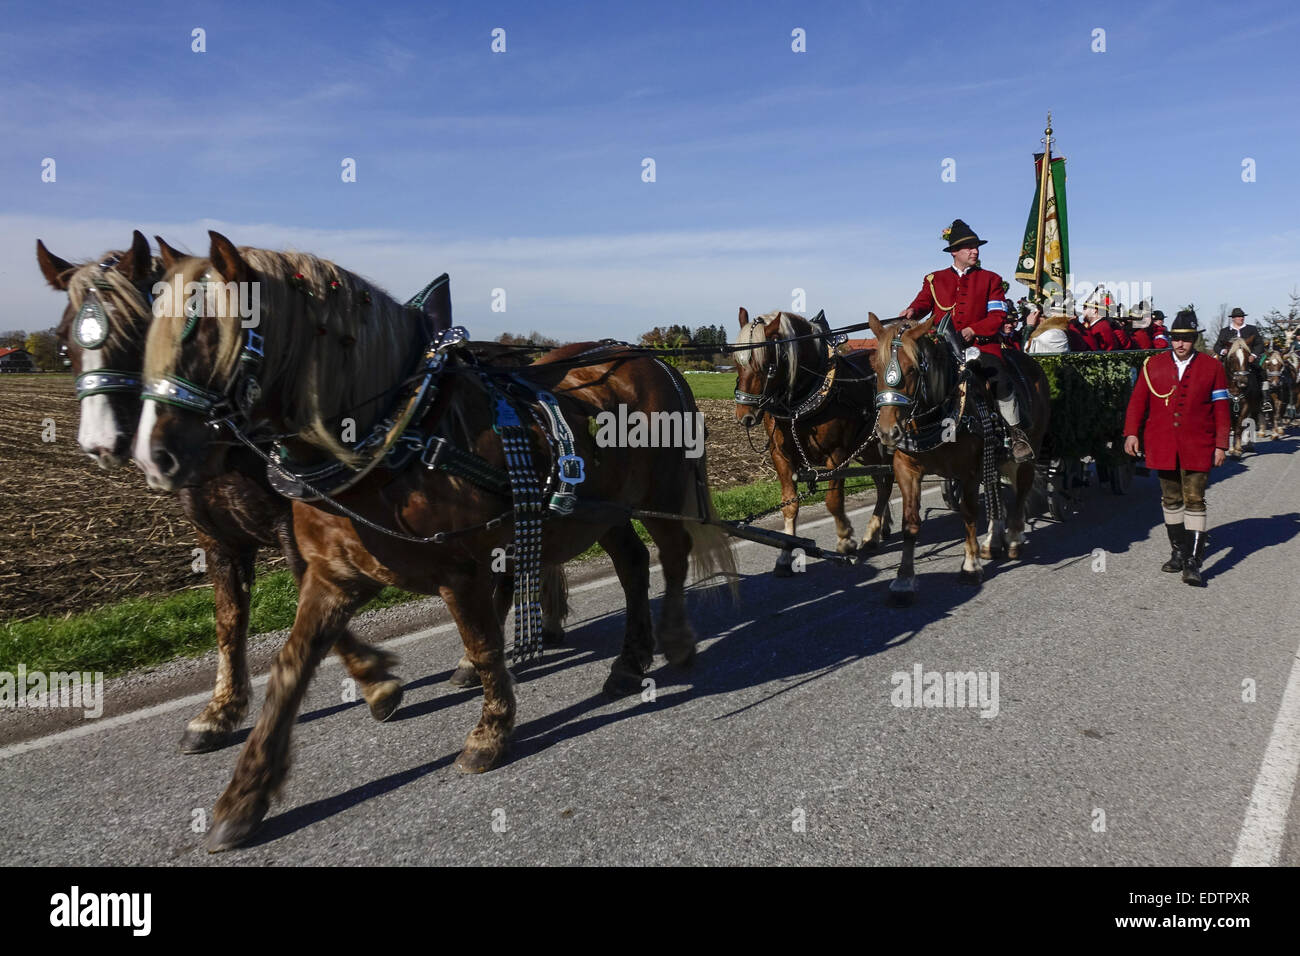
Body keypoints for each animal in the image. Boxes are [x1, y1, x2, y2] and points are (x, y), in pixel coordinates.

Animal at [139, 234, 743, 853]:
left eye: (215, 333)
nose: (155, 457)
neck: (399, 430)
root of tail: (654, 360)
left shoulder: (462, 570)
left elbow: (483, 643)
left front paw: (490, 732)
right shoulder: (333, 575)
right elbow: (289, 668)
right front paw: (245, 794)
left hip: (660, 494)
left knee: (672, 556)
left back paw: (675, 640)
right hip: (601, 510)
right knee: (633, 564)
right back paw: (628, 662)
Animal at [733, 310, 894, 572]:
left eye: (767, 364)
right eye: (737, 361)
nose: (745, 415)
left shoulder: (837, 456)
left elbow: (833, 502)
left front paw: (845, 539)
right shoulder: (780, 455)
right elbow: (789, 503)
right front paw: (785, 555)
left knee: (888, 481)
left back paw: (871, 534)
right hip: (867, 449)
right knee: (881, 481)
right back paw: (881, 527)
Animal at [868, 316, 1050, 606]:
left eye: (912, 370)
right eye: (875, 368)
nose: (887, 433)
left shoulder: (968, 472)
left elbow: (969, 515)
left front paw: (970, 566)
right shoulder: (906, 470)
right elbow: (910, 523)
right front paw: (904, 580)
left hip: (1029, 450)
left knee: (1020, 491)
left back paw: (1013, 539)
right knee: (996, 491)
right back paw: (993, 541)